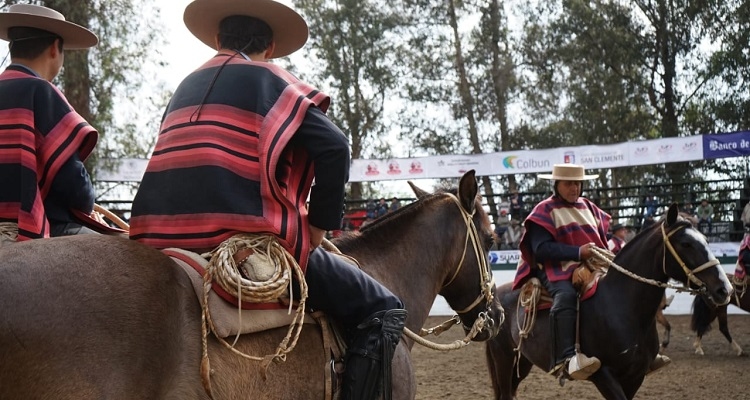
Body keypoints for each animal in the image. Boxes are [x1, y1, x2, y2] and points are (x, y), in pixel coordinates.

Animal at [482, 205, 736, 398]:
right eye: (686, 244)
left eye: (706, 240)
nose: (724, 288)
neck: (622, 307)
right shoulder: (603, 374)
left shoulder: (635, 376)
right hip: (504, 359)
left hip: (522, 362)